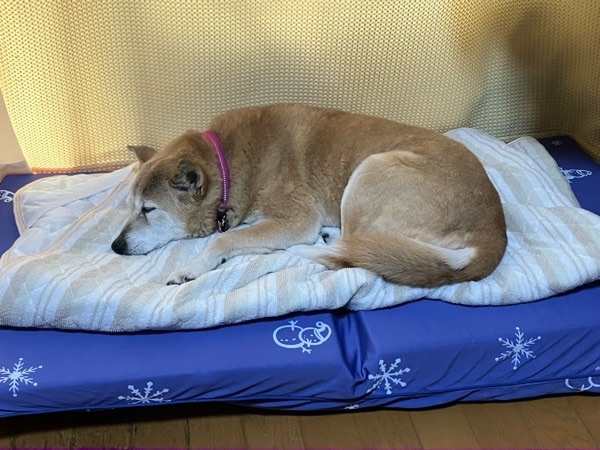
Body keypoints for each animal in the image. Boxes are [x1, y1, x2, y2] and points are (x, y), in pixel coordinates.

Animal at [112, 103, 507, 287]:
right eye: (131, 206)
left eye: (149, 209)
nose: (115, 247)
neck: (228, 163)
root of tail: (495, 230)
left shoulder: (296, 219)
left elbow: (223, 241)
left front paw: (191, 267)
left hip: (370, 172)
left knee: (349, 256)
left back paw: (312, 247)